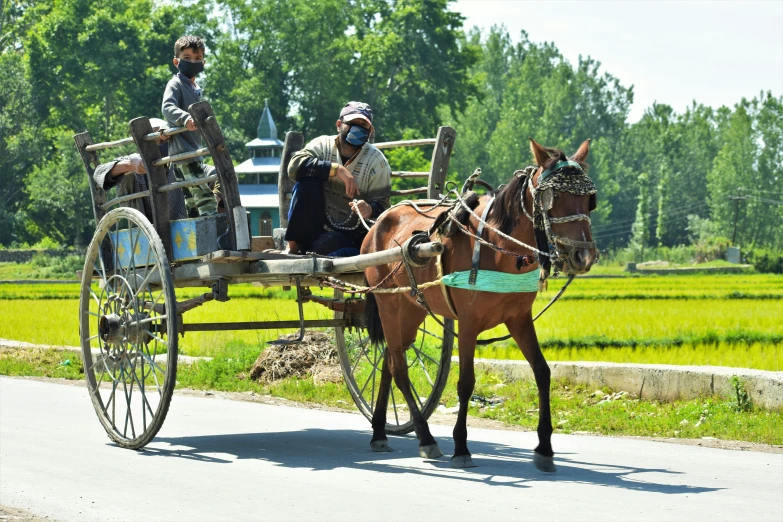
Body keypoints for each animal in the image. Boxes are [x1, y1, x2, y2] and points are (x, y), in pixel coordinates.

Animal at [362, 136, 600, 470]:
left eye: (590, 199)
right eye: (551, 197)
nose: (583, 256)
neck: (499, 249)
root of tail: (378, 222)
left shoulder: (519, 319)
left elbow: (542, 372)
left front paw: (544, 447)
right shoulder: (468, 323)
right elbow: (466, 382)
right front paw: (461, 446)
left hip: (411, 308)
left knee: (389, 360)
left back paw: (379, 431)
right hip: (387, 301)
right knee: (399, 368)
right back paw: (425, 437)